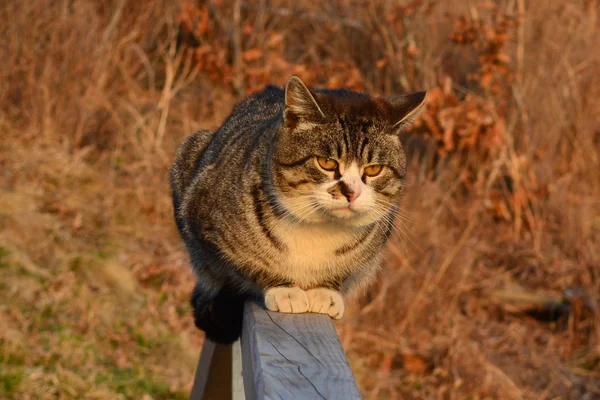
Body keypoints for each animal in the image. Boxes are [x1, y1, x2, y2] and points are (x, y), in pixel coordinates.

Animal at [170, 76, 426, 344]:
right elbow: (244, 263)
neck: (319, 229)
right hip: (191, 147)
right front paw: (285, 291)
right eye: (326, 163)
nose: (351, 192)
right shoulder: (203, 221)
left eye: (374, 169)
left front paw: (325, 293)